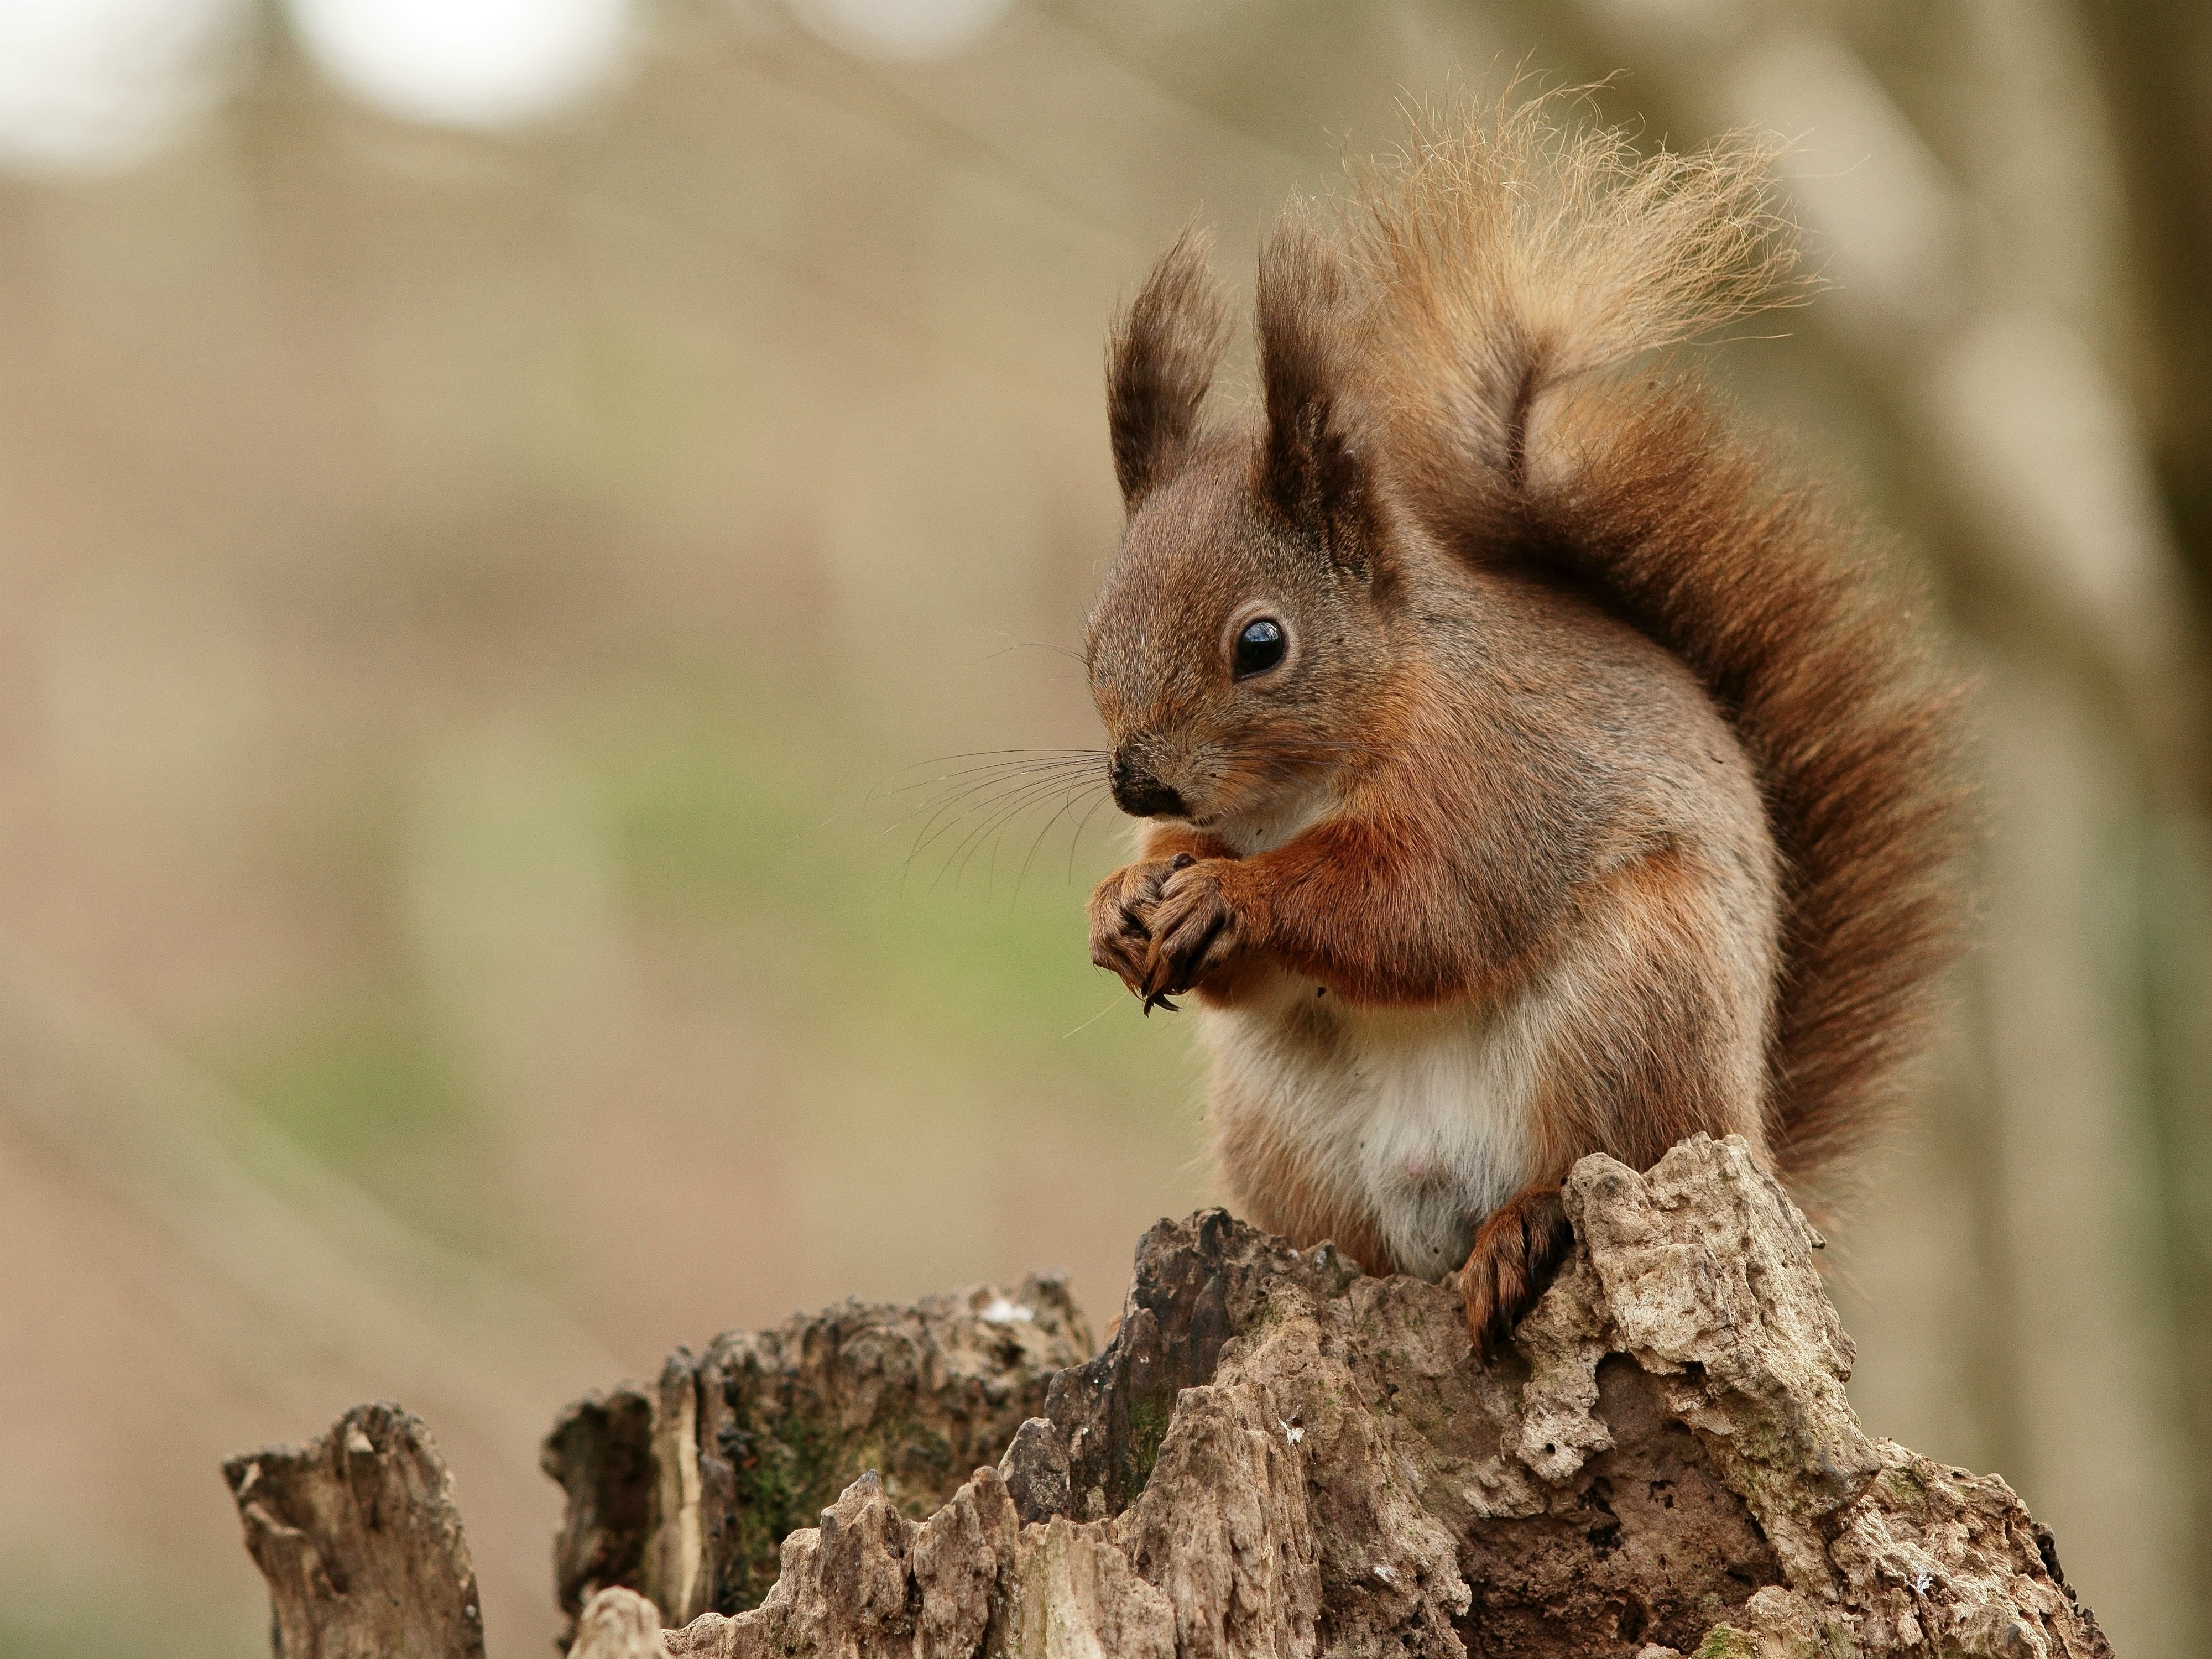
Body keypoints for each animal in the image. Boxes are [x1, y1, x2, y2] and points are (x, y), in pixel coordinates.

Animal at [1081, 99, 1971, 1353]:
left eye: (1261, 644)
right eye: (1094, 627)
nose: (1136, 783)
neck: (1298, 791)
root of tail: (1750, 1136)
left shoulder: (1495, 781)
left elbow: (1423, 908)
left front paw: (1232, 896)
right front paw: (1124, 902)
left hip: (1638, 1012)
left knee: (1588, 1158)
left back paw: (1526, 1229)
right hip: (1281, 1128)